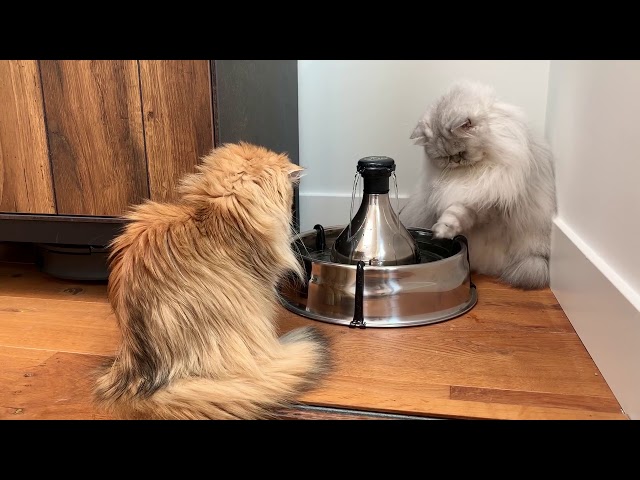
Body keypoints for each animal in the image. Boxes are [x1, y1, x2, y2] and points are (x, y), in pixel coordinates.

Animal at [400, 81, 556, 290]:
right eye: (444, 157)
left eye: (462, 152)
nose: (455, 161)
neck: (476, 171)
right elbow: (452, 214)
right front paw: (441, 231)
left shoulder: (488, 201)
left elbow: (457, 214)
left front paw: (443, 231)